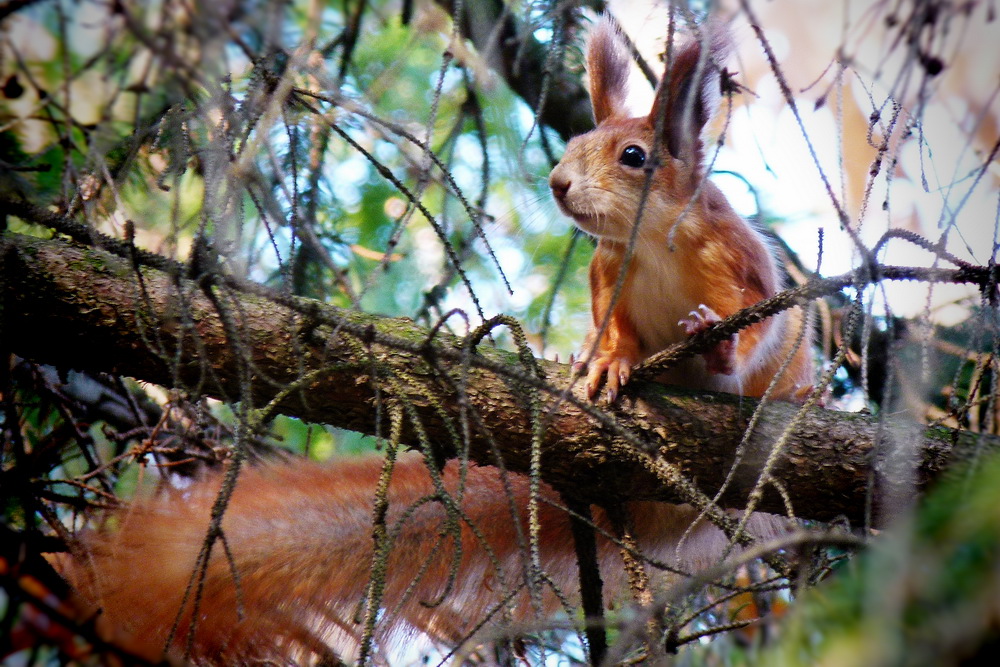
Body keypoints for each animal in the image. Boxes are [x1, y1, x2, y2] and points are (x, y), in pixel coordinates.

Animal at [48, 13, 812, 664]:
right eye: (570, 145)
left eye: (633, 155)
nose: (559, 183)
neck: (647, 243)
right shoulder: (607, 279)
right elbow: (614, 333)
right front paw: (604, 364)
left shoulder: (740, 262)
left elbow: (754, 320)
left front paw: (716, 342)